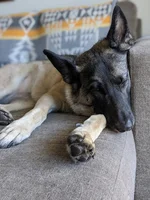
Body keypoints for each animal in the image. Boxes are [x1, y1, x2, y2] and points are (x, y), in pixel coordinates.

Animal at [0, 6, 135, 162]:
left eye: (123, 80)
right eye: (96, 89)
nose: (127, 126)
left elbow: (102, 117)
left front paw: (83, 136)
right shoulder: (49, 96)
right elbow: (37, 112)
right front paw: (18, 127)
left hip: (25, 101)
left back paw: (2, 114)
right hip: (8, 85)